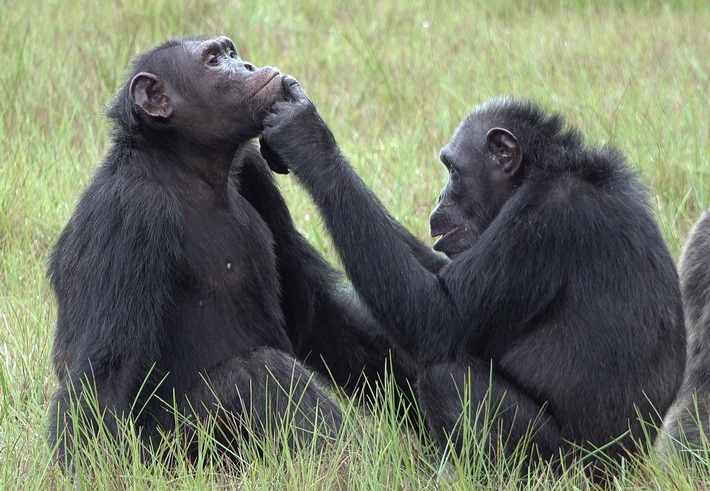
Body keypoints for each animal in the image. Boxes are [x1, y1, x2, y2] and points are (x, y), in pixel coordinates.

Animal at [46, 37, 412, 468]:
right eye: (213, 61)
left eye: (230, 52)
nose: (247, 65)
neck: (187, 166)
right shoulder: (129, 210)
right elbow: (106, 370)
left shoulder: (255, 173)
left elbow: (313, 313)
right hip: (174, 454)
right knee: (260, 372)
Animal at [262, 80, 688, 472]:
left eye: (452, 168)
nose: (440, 197)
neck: (540, 172)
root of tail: (632, 465)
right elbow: (438, 277)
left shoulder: (544, 221)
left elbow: (439, 316)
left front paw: (306, 137)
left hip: (561, 467)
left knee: (445, 379)